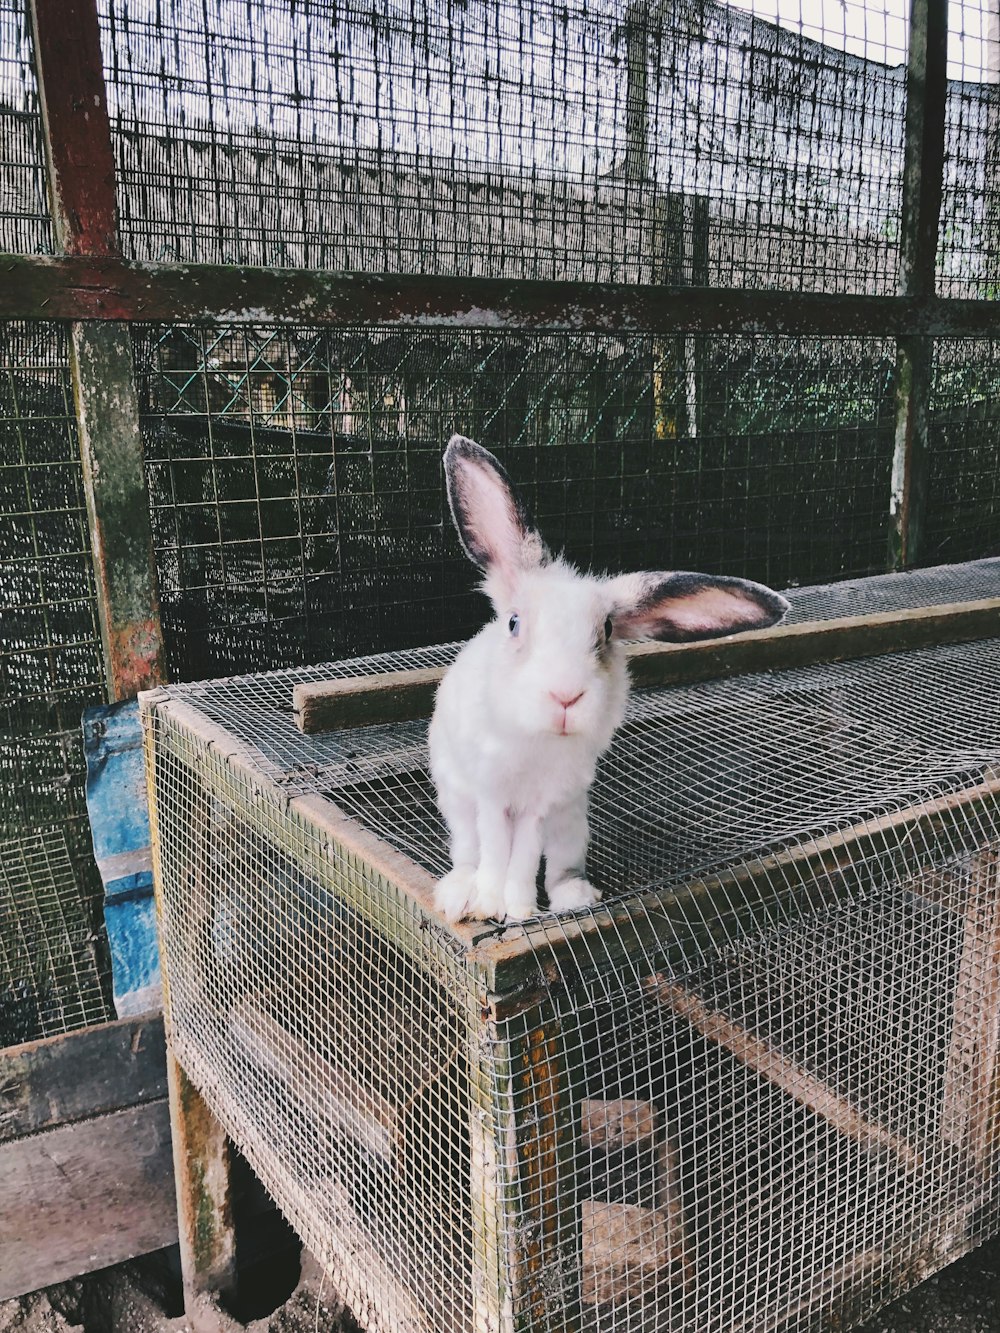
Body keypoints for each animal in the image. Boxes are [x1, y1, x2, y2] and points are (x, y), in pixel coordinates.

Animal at [432, 437, 789, 927]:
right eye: (514, 623)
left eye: (605, 631)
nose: (566, 696)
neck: (537, 742)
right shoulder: (492, 794)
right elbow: (496, 852)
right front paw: (490, 905)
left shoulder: (543, 803)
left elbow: (522, 858)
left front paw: (520, 910)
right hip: (458, 804)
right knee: (468, 853)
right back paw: (459, 896)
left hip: (572, 823)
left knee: (560, 867)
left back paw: (573, 897)